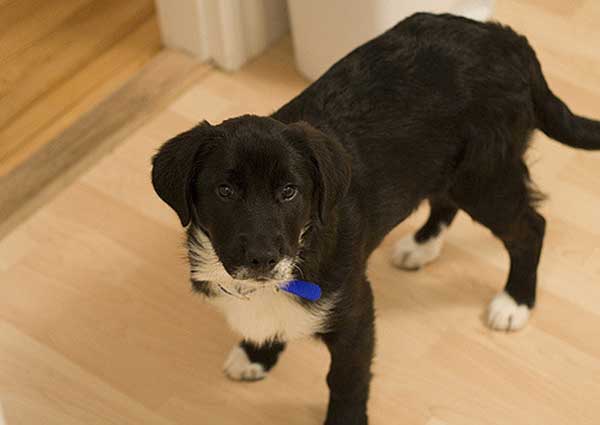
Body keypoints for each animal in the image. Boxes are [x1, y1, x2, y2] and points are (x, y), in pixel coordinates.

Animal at [151, 12, 600, 424]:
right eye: (224, 191)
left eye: (289, 191)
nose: (262, 258)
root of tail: (508, 38)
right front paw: (257, 353)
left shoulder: (355, 314)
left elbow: (345, 381)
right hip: (448, 168)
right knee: (445, 201)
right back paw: (421, 246)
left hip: (484, 177)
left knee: (530, 228)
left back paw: (515, 301)